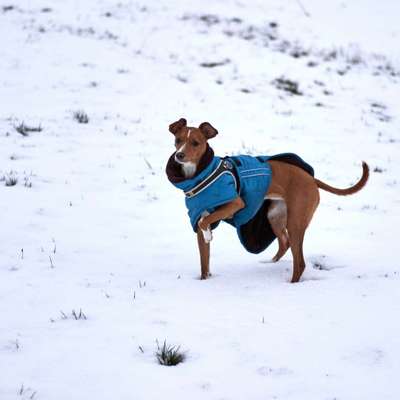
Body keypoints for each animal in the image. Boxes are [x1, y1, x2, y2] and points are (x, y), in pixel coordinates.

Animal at [168, 118, 368, 282]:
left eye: (195, 143)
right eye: (178, 140)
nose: (179, 155)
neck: (200, 174)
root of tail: (311, 179)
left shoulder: (235, 204)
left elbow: (205, 222)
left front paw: (209, 233)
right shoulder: (198, 217)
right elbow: (204, 260)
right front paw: (205, 280)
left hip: (295, 223)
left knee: (300, 262)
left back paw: (291, 283)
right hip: (275, 216)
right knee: (284, 243)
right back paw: (270, 262)